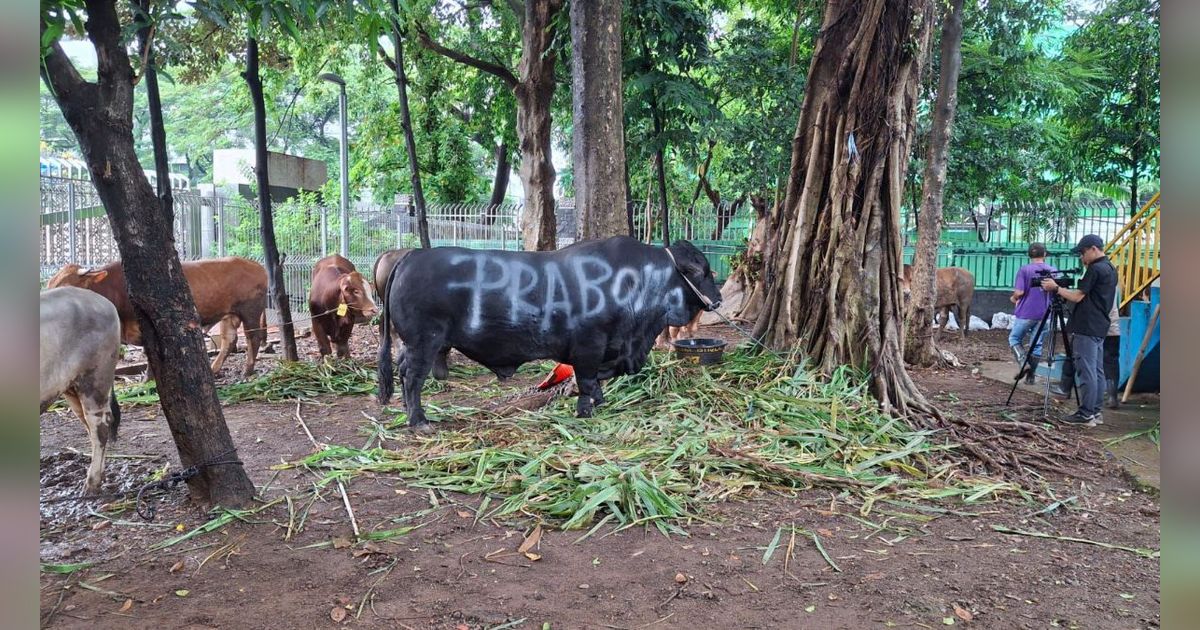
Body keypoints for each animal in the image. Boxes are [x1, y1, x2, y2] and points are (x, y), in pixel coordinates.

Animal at [46, 256, 267, 376]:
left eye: (66, 286)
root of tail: (256, 265)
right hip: (229, 315)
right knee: (229, 341)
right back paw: (214, 369)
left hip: (251, 310)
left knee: (253, 337)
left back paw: (247, 370)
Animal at [376, 235, 720, 427]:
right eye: (702, 272)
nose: (717, 299)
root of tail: (411, 256)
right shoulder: (589, 345)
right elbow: (587, 380)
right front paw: (586, 409)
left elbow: (597, 379)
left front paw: (597, 400)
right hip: (425, 342)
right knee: (412, 377)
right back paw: (418, 420)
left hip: (413, 343)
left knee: (403, 369)